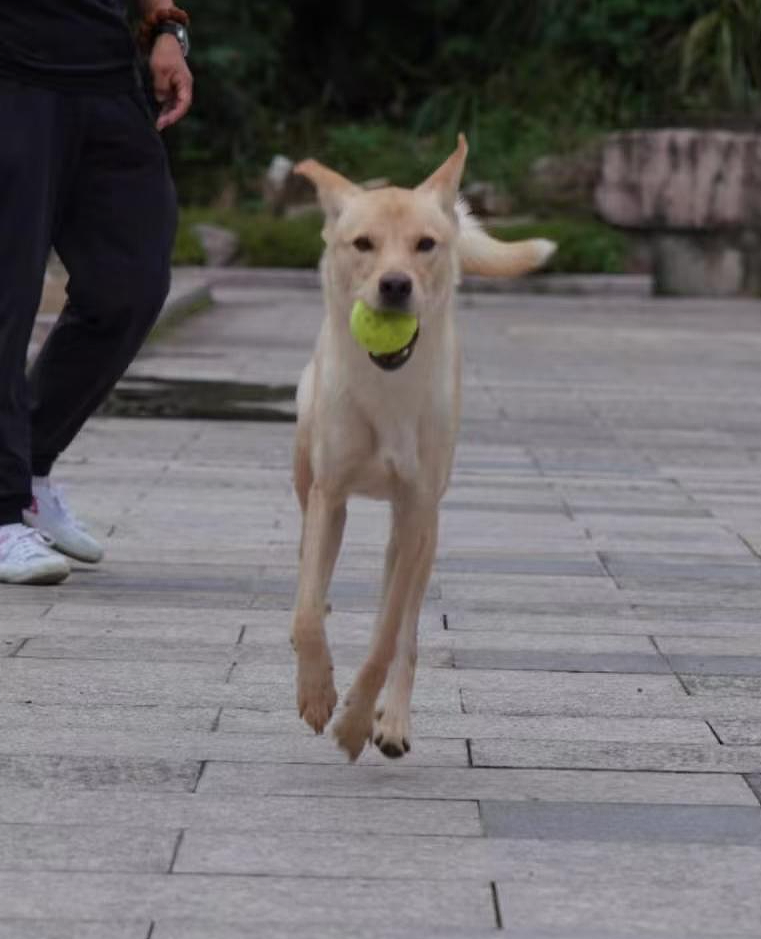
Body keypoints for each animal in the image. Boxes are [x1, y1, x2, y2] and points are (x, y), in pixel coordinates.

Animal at [290, 134, 552, 764]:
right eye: (363, 243)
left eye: (424, 245)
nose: (395, 284)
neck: (387, 388)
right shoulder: (330, 492)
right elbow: (308, 608)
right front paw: (316, 692)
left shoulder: (414, 511)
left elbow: (387, 637)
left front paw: (356, 722)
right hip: (307, 470)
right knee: (314, 570)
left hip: (424, 529)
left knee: (405, 626)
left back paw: (391, 723)